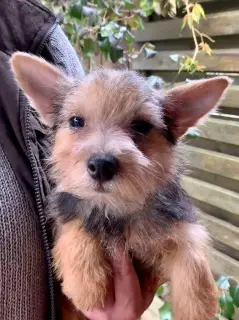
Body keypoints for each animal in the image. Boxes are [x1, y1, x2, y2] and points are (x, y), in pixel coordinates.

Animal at [10, 53, 232, 320]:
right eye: (76, 121)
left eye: (141, 126)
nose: (101, 165)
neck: (115, 209)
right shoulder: (65, 209)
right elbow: (76, 222)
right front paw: (85, 280)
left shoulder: (174, 227)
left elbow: (193, 253)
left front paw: (198, 308)